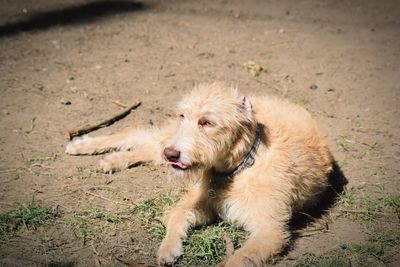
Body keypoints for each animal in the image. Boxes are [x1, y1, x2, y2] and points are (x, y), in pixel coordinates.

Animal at [65, 82, 334, 266]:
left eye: (207, 123)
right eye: (182, 115)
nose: (172, 154)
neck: (239, 166)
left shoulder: (270, 230)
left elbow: (238, 259)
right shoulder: (199, 201)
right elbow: (176, 216)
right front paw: (168, 248)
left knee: (148, 147)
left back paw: (113, 159)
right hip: (166, 137)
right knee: (137, 133)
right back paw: (83, 145)